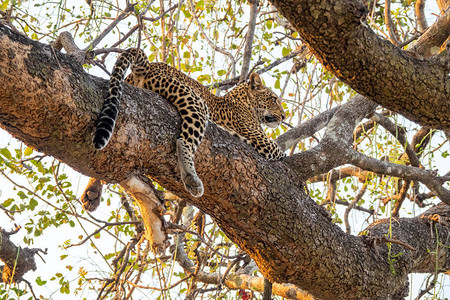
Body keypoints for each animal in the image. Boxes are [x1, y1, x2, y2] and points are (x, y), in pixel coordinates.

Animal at [88, 47, 284, 205]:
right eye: (274, 99)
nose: (283, 116)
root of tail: (148, 65)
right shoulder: (262, 141)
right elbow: (280, 151)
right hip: (195, 102)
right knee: (184, 141)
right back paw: (192, 179)